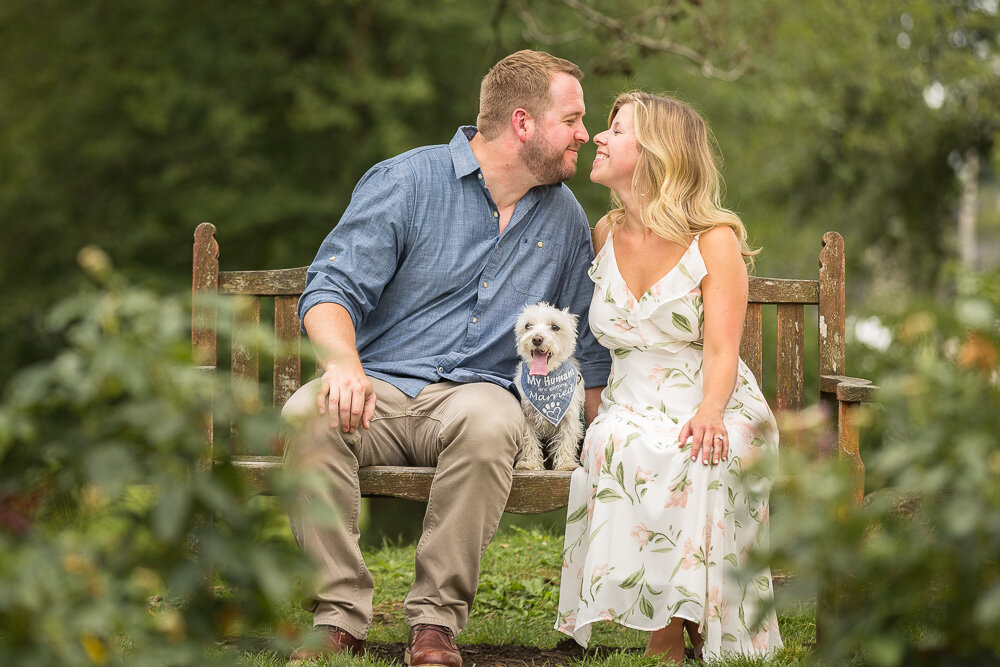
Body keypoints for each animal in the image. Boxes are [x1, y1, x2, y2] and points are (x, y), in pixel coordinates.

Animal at [516, 302, 584, 470]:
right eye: (528, 325)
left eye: (555, 327)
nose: (537, 338)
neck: (545, 380)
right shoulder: (526, 416)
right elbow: (529, 440)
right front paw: (530, 463)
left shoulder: (569, 417)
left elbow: (566, 440)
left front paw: (566, 464)